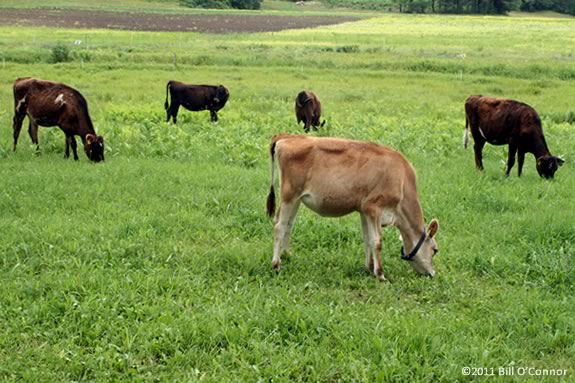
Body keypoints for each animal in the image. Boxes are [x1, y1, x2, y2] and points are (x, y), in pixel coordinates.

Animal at [266, 134, 440, 280]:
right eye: (435, 250)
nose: (432, 274)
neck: (402, 181)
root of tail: (288, 136)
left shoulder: (364, 210)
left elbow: (367, 238)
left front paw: (369, 267)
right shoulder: (373, 207)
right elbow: (377, 241)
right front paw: (380, 274)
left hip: (296, 199)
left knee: (288, 224)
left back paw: (287, 256)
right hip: (289, 195)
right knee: (279, 226)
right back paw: (276, 265)